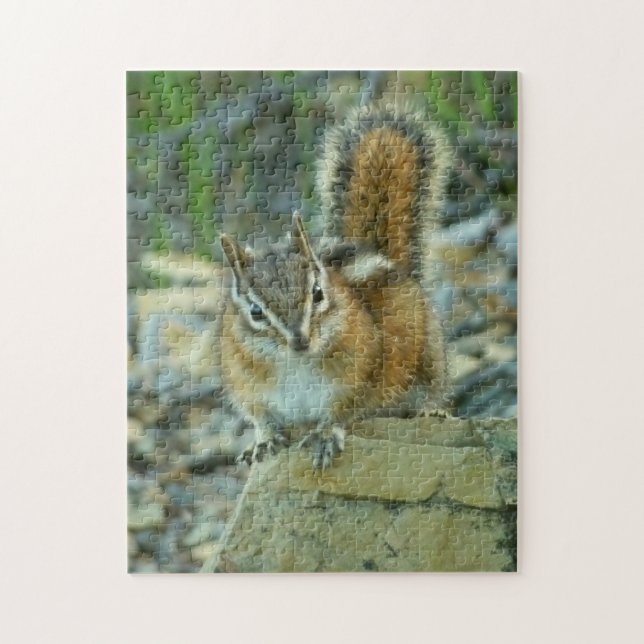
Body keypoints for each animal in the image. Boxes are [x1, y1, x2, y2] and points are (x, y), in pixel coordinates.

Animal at [219, 103, 451, 471]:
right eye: (255, 311)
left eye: (317, 293)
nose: (299, 341)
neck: (295, 365)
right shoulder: (247, 386)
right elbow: (261, 418)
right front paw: (264, 441)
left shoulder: (361, 376)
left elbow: (342, 411)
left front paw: (326, 434)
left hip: (429, 353)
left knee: (433, 386)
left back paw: (431, 410)